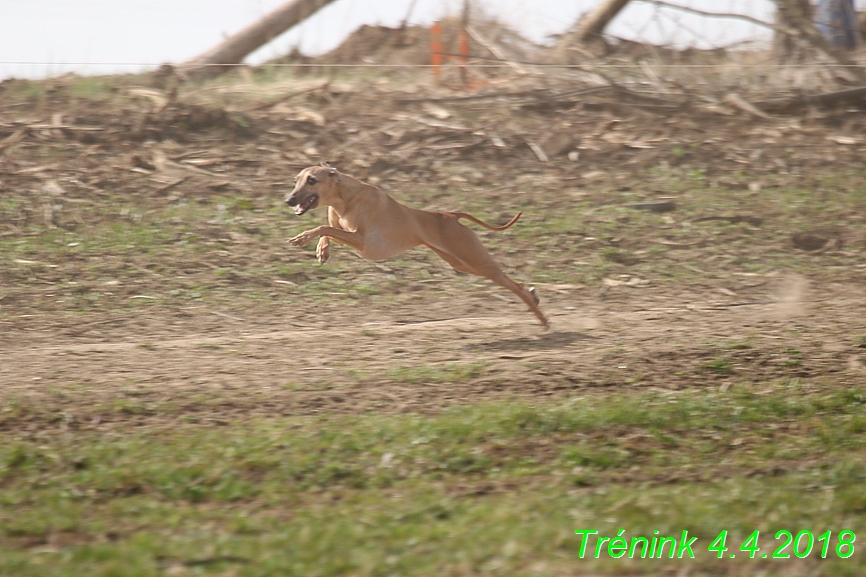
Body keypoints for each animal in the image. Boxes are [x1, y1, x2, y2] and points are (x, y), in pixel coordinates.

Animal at [286, 163, 552, 328]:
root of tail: (450, 215)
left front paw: (303, 238)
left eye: (312, 180)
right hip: (463, 263)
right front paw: (321, 250)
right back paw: (534, 298)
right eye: (296, 180)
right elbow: (328, 230)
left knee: (513, 285)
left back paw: (541, 316)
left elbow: (325, 228)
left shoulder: (361, 242)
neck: (345, 198)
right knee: (515, 284)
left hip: (477, 260)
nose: (288, 199)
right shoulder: (346, 233)